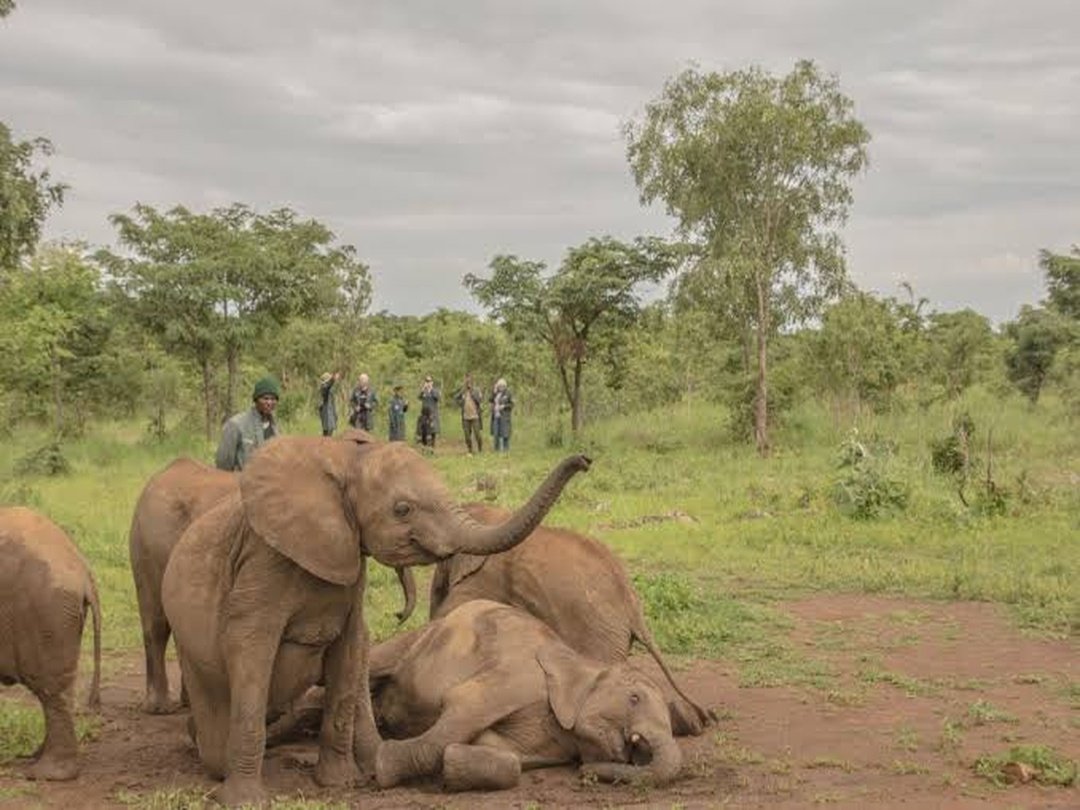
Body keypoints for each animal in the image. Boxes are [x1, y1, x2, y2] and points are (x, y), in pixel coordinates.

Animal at [161, 431, 590, 807]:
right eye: (402, 510)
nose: (584, 460)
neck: (344, 460)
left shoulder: (350, 571)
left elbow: (350, 652)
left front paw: (341, 783)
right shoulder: (263, 561)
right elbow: (251, 650)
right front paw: (246, 802)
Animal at [371, 599, 682, 791]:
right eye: (634, 698)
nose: (585, 773)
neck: (583, 662)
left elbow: (509, 760)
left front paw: (455, 763)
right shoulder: (518, 678)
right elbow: (462, 709)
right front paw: (383, 767)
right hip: (417, 639)